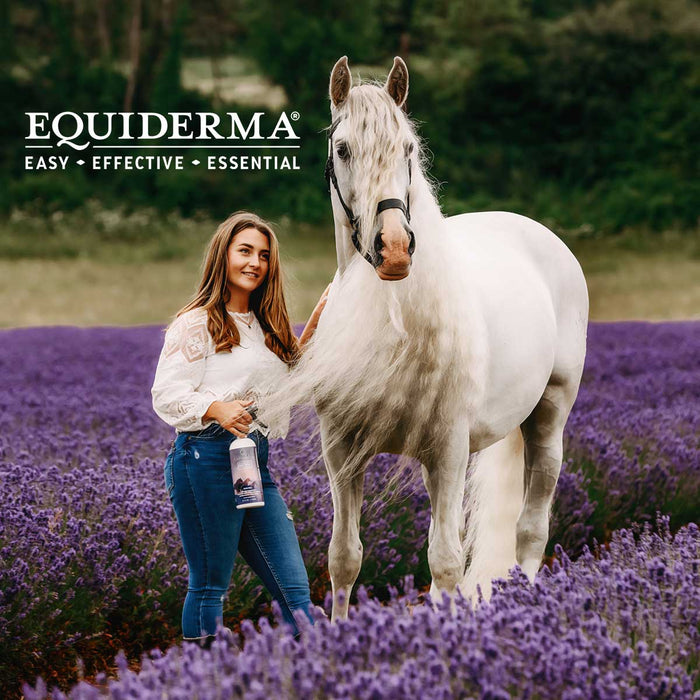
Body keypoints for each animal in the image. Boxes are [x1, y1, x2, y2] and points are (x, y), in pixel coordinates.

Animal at [263, 56, 588, 621]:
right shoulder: (341, 451)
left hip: (549, 418)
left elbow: (446, 563)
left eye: (408, 149)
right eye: (343, 148)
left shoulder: (449, 451)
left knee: (530, 531)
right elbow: (344, 557)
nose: (393, 248)